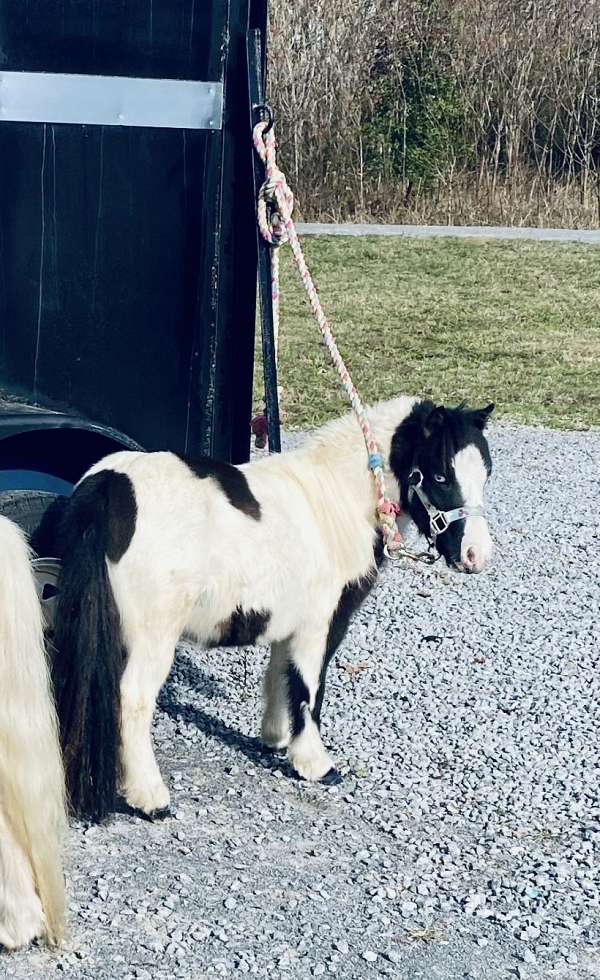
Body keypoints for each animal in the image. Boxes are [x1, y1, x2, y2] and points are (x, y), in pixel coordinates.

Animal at [50, 394, 492, 824]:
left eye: (485, 473)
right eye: (439, 476)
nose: (476, 556)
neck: (336, 500)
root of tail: (110, 484)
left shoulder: (289, 624)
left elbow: (281, 675)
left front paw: (277, 741)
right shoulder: (321, 625)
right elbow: (310, 688)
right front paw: (315, 764)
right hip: (152, 636)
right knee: (133, 698)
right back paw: (151, 799)